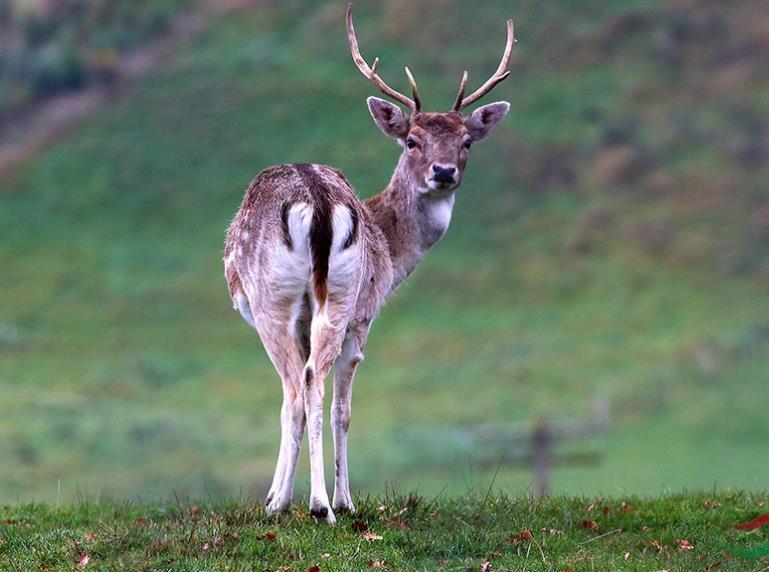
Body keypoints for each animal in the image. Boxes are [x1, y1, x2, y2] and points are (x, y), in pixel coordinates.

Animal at [224, 4, 516, 524]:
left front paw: (292, 499)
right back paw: (313, 502)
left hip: (286, 299)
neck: (392, 252)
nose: (444, 172)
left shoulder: (357, 315)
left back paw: (314, 504)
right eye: (412, 141)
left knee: (301, 385)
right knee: (305, 383)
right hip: (319, 297)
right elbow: (334, 404)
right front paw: (304, 497)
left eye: (467, 141)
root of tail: (319, 203)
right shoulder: (359, 313)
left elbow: (325, 404)